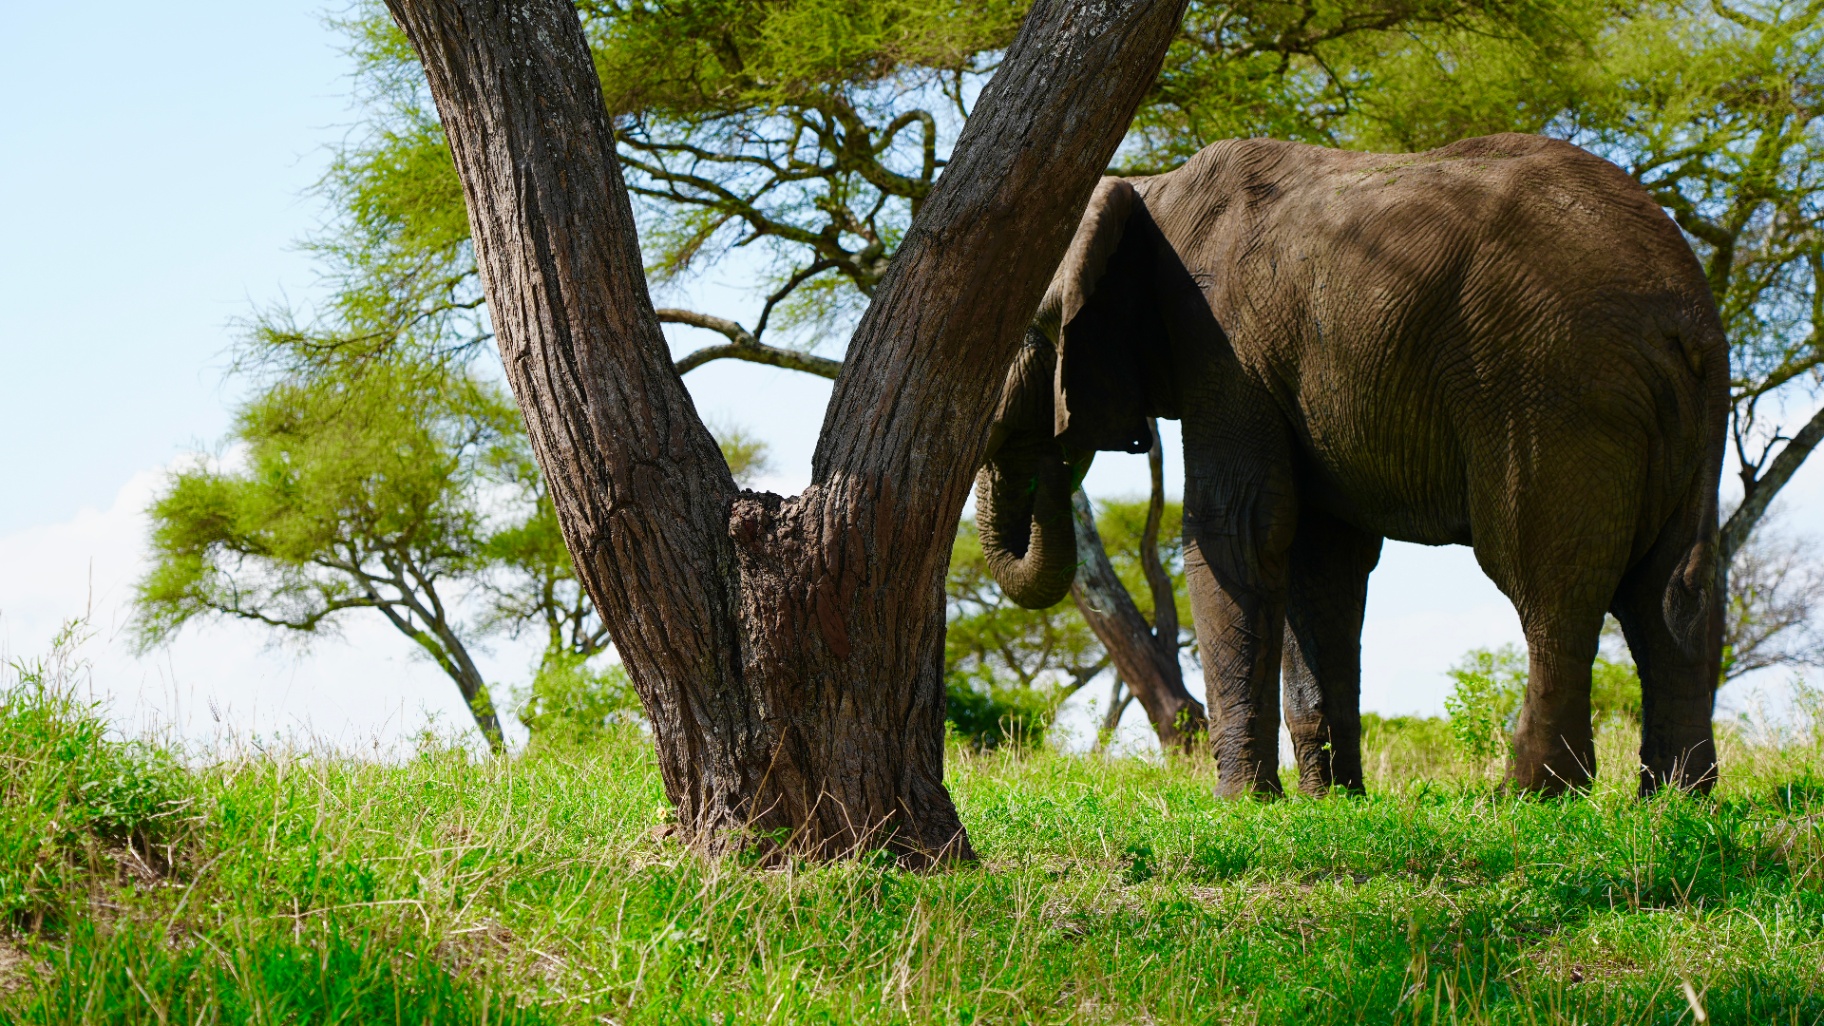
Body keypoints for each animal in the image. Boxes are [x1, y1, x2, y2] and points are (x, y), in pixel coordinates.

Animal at [975, 133, 1727, 797]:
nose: (1056, 453)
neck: (1148, 187)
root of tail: (1684, 311)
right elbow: (1320, 557)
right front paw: (1329, 801)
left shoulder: (1223, 340)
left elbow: (1237, 529)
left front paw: (1242, 802)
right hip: (1686, 412)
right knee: (1676, 590)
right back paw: (1676, 800)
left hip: (1552, 388)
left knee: (1546, 581)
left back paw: (1529, 795)